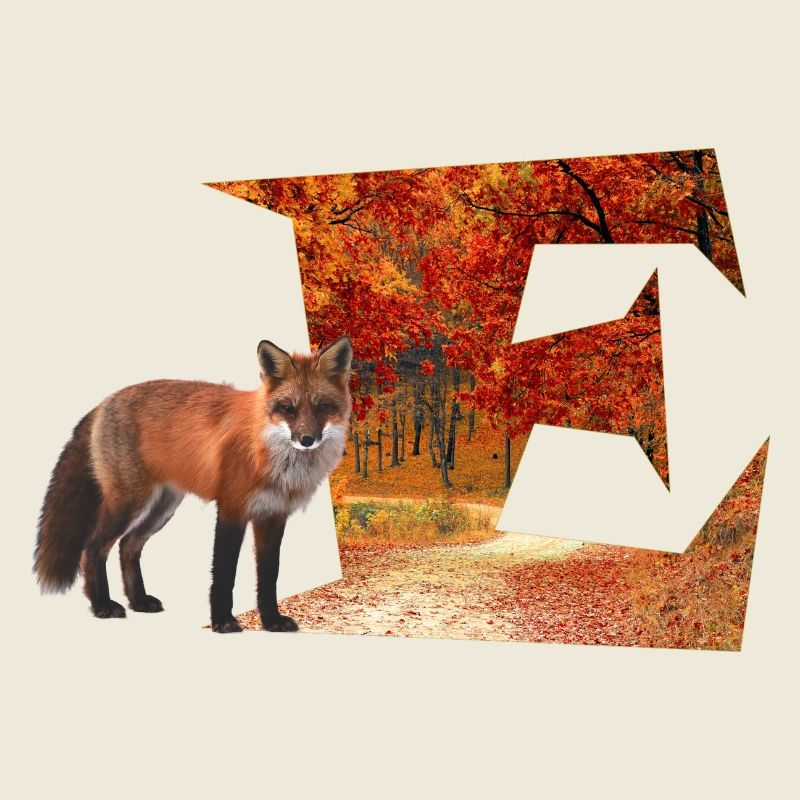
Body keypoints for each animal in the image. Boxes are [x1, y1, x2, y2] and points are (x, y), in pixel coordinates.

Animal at [34, 335, 353, 633]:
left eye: (322, 407)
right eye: (288, 408)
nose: (306, 440)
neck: (270, 455)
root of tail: (105, 401)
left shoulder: (273, 517)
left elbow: (269, 577)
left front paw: (271, 621)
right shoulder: (232, 509)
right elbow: (224, 573)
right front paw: (223, 621)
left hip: (161, 508)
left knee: (128, 546)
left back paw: (138, 601)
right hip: (128, 504)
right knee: (93, 548)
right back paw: (102, 605)